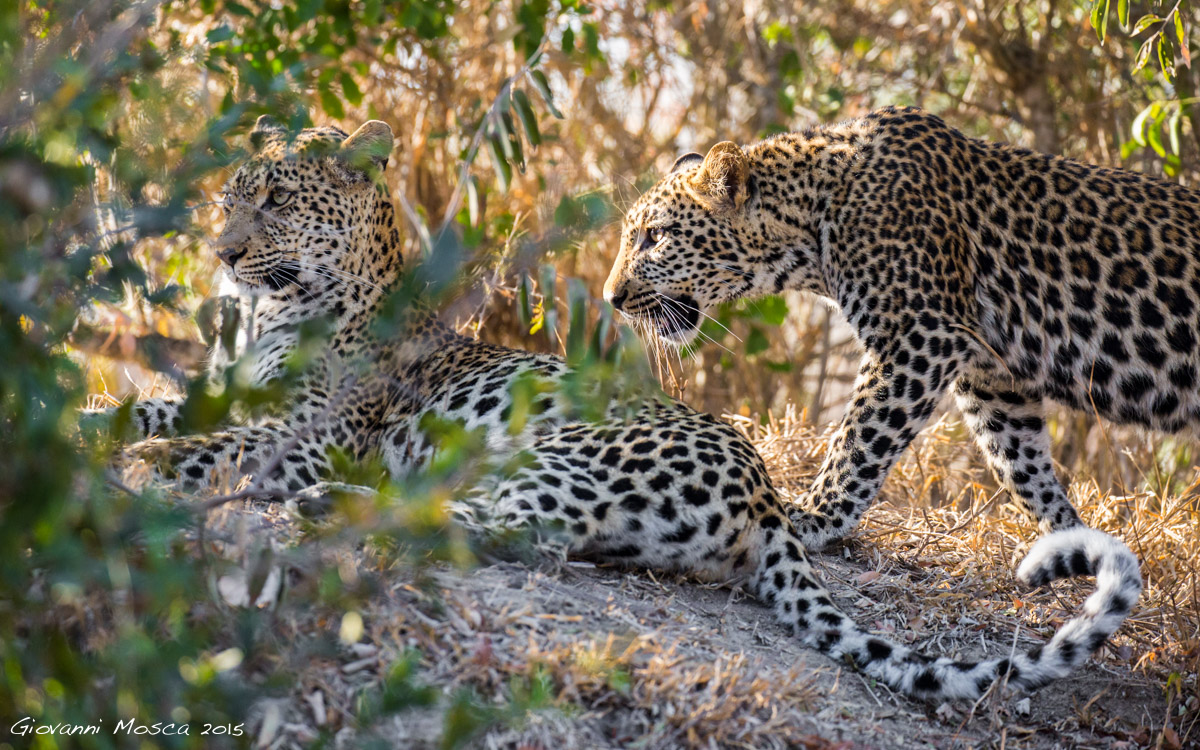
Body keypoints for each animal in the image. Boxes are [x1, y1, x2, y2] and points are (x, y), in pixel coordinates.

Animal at [87, 114, 1141, 701]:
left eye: (272, 200)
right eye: (230, 197)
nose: (220, 250)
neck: (273, 313)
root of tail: (766, 495)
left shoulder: (317, 436)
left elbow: (216, 445)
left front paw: (153, 464)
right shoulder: (227, 394)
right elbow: (154, 412)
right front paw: (104, 431)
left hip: (539, 456)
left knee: (482, 526)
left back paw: (330, 511)